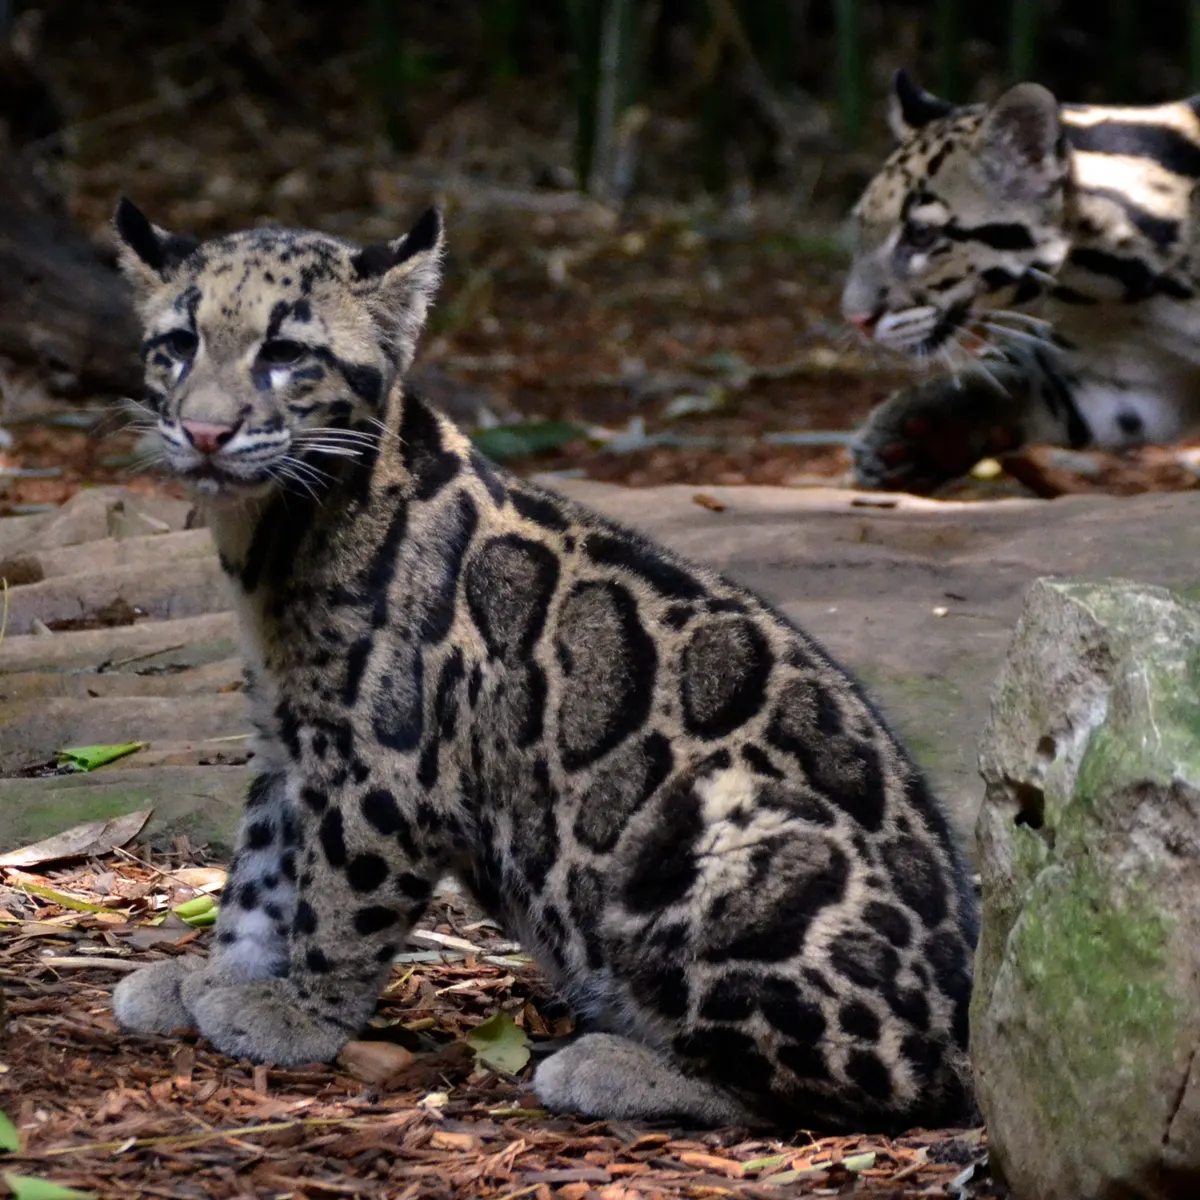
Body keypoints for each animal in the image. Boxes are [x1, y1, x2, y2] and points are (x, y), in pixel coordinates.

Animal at [108, 197, 979, 1135]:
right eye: (180, 343)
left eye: (284, 353)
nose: (205, 430)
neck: (270, 540)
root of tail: (968, 1027)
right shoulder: (287, 747)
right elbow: (260, 880)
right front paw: (214, 975)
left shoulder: (385, 767)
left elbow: (339, 897)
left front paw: (297, 1013)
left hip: (725, 831)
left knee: (855, 1087)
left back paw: (616, 1066)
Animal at [842, 68, 1200, 494]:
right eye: (861, 226)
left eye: (922, 235)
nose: (855, 320)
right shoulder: (1126, 384)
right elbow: (1019, 377)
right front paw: (917, 432)